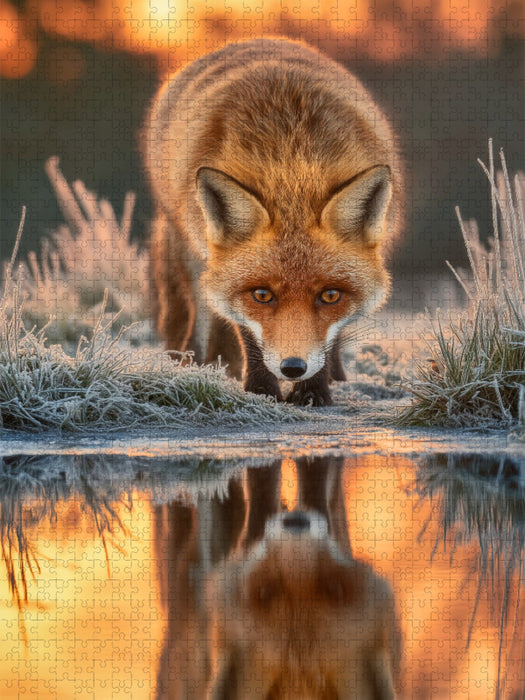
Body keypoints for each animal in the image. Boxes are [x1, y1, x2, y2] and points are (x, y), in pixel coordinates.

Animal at [143, 37, 402, 406]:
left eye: (330, 296)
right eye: (262, 295)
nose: (293, 368)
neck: (291, 167)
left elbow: (328, 339)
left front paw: (313, 391)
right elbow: (247, 333)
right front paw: (261, 390)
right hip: (189, 247)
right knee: (200, 312)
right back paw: (204, 364)